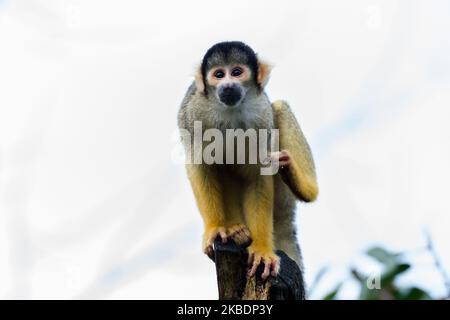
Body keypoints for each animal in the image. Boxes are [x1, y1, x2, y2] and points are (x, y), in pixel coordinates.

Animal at [178, 41, 318, 278]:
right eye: (218, 74)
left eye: (236, 72)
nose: (227, 86)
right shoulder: (195, 113)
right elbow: (200, 165)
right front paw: (215, 228)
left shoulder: (261, 117)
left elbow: (258, 174)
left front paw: (262, 250)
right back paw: (235, 228)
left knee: (279, 108)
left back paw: (303, 186)